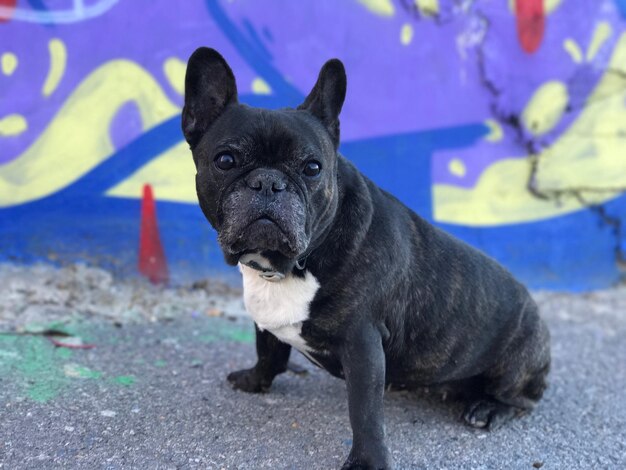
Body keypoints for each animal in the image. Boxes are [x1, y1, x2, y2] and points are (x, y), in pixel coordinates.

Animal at [180, 47, 544, 470]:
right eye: (225, 160)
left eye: (312, 168)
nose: (268, 181)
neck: (293, 265)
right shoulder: (268, 320)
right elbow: (268, 351)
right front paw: (255, 381)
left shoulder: (363, 343)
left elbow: (365, 411)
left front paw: (367, 460)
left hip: (517, 360)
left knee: (522, 398)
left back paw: (489, 408)